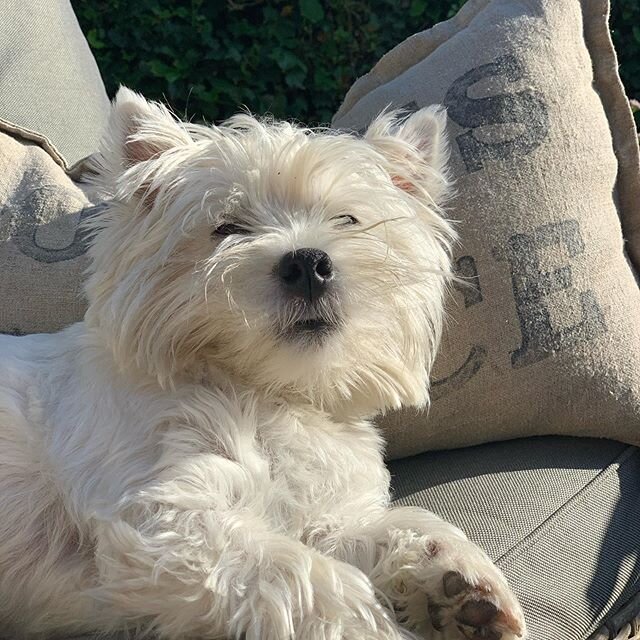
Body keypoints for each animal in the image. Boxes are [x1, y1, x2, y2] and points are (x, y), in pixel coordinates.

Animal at [0, 89, 524, 640]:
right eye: (228, 228)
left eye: (348, 220)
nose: (308, 263)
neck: (267, 393)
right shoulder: (167, 517)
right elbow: (315, 581)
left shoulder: (317, 514)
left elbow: (381, 528)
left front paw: (458, 583)